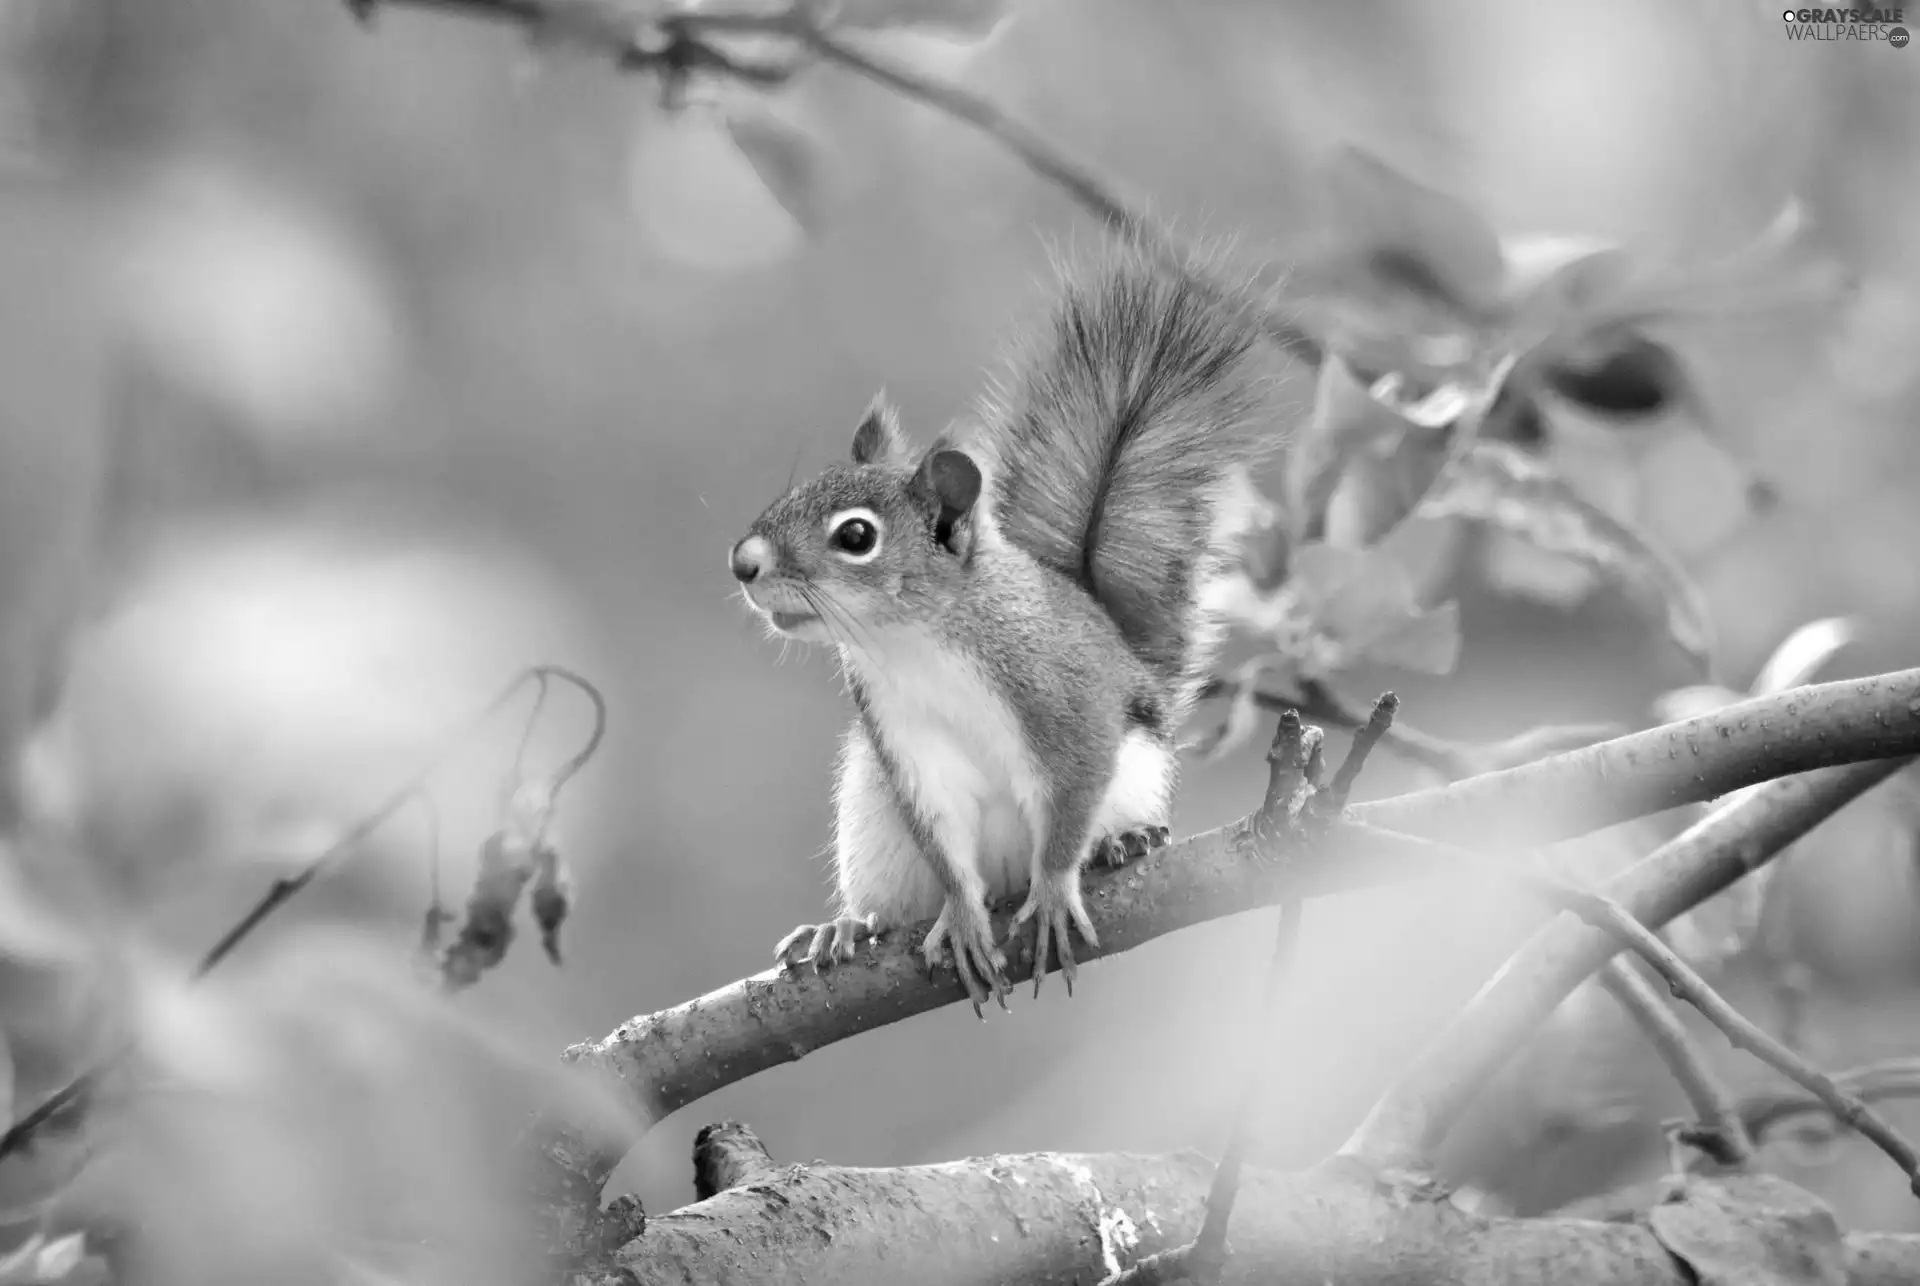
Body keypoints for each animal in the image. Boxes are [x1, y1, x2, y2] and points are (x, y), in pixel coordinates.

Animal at [725, 237, 1297, 1013]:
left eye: (856, 536)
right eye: (799, 490)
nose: (742, 563)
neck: (915, 641)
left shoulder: (1068, 703)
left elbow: (1071, 798)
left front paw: (1054, 890)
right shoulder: (905, 742)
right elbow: (944, 840)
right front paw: (964, 917)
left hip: (1135, 773)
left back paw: (1120, 844)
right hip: (870, 817)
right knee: (893, 899)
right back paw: (843, 927)